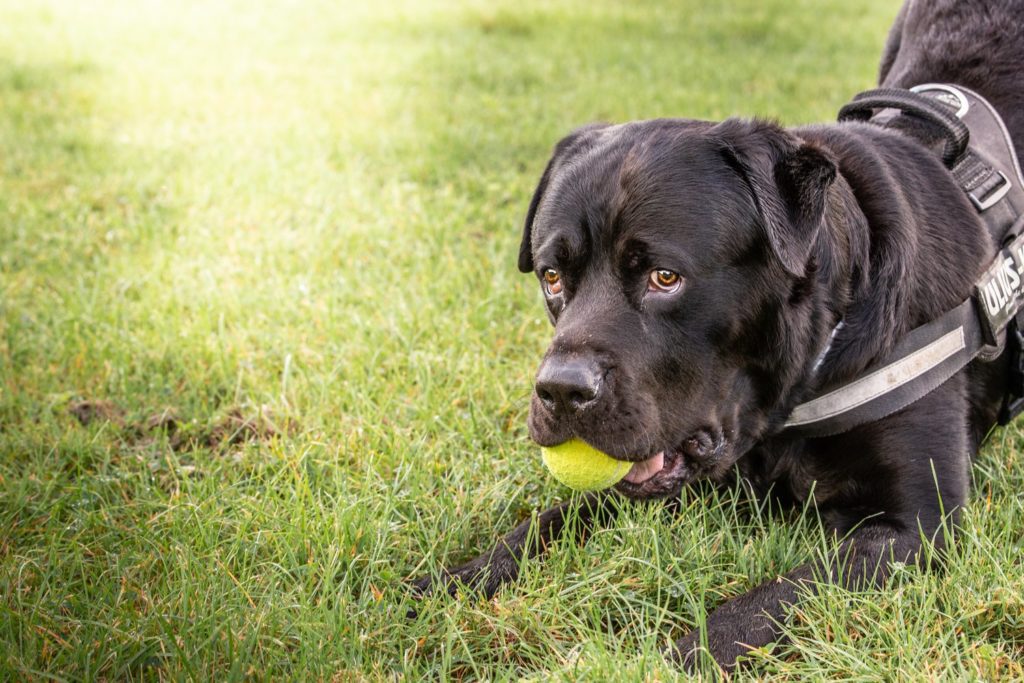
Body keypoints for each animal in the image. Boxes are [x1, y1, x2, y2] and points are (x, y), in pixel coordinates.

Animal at [413, 0, 1024, 671]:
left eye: (665, 277)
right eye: (552, 277)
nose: (560, 391)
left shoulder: (917, 527)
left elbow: (766, 604)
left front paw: (662, 661)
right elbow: (559, 515)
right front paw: (449, 582)